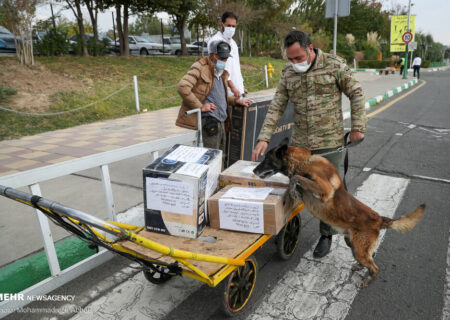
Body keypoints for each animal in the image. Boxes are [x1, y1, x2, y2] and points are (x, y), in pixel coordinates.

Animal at [253, 140, 426, 288]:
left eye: (267, 159)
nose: (254, 170)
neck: (305, 161)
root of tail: (379, 219)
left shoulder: (324, 189)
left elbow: (296, 177)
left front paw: (294, 188)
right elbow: (294, 180)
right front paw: (293, 190)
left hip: (358, 249)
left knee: (375, 267)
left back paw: (367, 280)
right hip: (352, 244)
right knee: (371, 257)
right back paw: (360, 267)